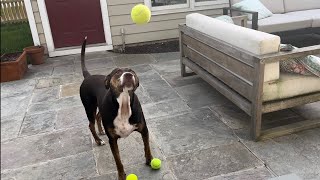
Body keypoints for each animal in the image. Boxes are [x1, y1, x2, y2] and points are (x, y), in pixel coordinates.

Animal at [78, 37, 152, 179]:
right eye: (117, 72)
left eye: (132, 71)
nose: (128, 75)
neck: (124, 104)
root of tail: (88, 76)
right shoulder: (112, 140)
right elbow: (118, 160)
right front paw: (121, 175)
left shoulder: (144, 129)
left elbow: (147, 147)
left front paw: (150, 160)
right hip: (89, 107)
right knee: (90, 124)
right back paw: (98, 140)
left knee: (98, 116)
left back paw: (101, 131)